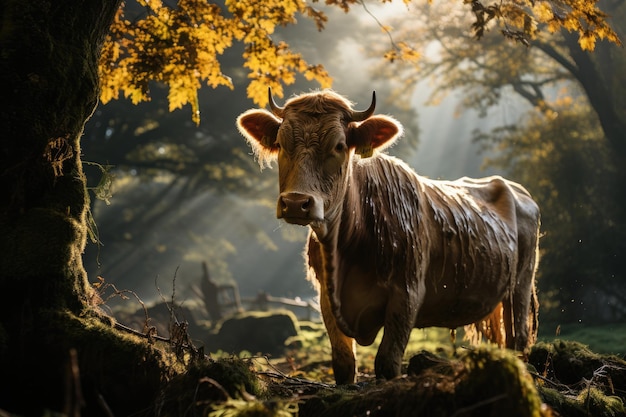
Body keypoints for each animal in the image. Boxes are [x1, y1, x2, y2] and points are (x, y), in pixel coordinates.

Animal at [234, 88, 536, 384]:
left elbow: (387, 363)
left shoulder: (408, 293)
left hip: (520, 285)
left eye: (339, 146)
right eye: (281, 144)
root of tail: (514, 188)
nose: (296, 203)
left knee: (518, 339)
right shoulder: (325, 299)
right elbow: (344, 364)